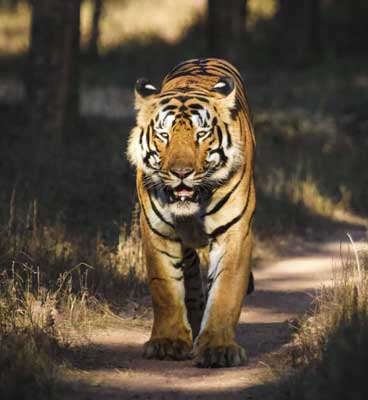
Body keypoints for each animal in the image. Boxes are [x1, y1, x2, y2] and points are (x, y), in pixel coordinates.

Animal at [128, 57, 254, 368]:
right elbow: (164, 289)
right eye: (164, 135)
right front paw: (168, 342)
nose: (181, 172)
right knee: (191, 273)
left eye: (201, 134)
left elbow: (226, 291)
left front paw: (218, 349)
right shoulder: (157, 232)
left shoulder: (234, 233)